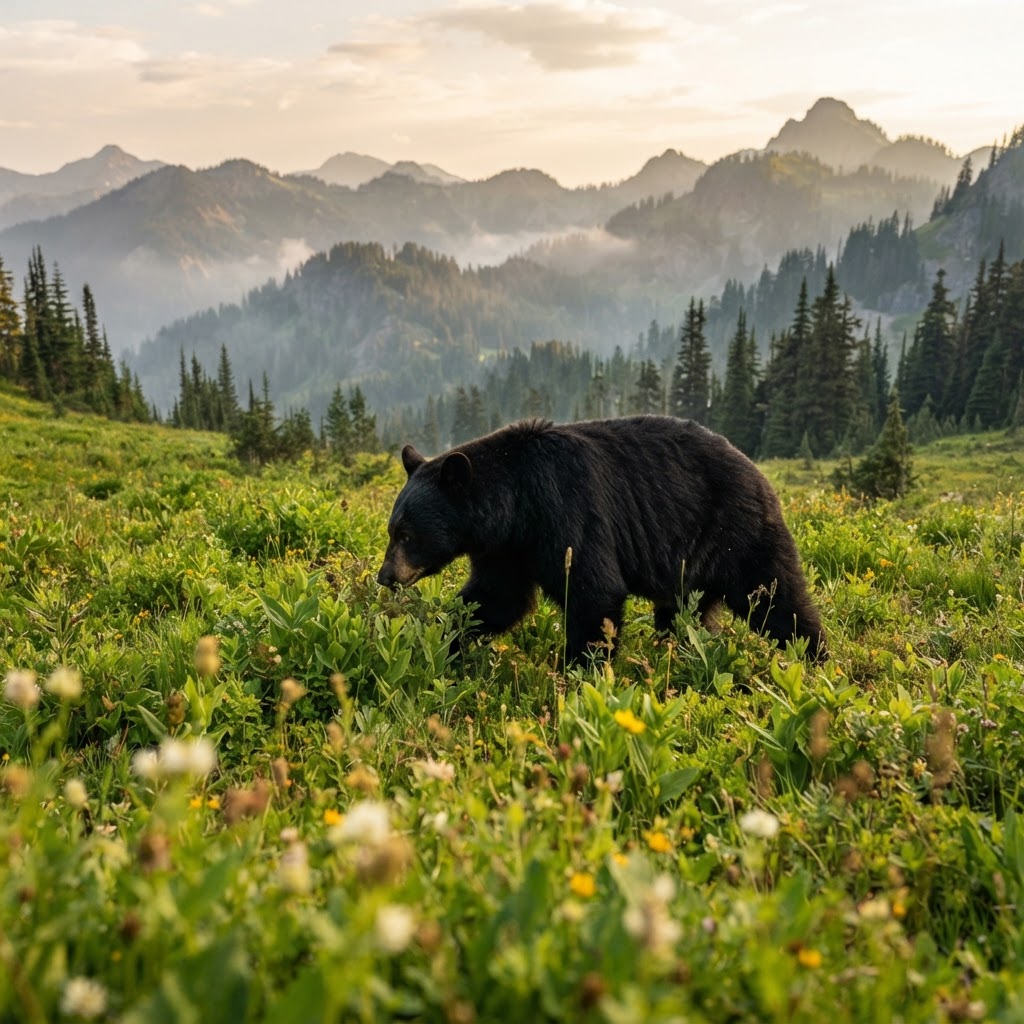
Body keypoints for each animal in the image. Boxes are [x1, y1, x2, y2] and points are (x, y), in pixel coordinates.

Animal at [377, 416, 826, 663]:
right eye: (391, 530)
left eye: (406, 534)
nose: (385, 576)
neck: (516, 505)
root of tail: (760, 474)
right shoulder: (509, 551)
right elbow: (495, 599)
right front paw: (443, 639)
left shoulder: (567, 512)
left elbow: (594, 592)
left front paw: (580, 670)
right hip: (690, 568)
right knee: (683, 614)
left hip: (739, 534)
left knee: (776, 599)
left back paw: (815, 657)